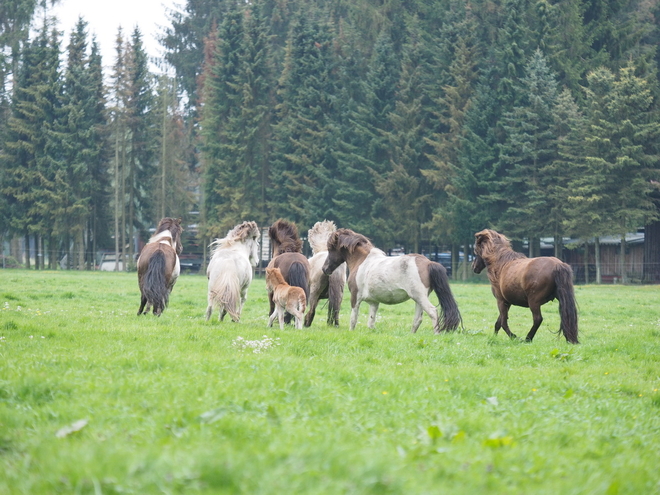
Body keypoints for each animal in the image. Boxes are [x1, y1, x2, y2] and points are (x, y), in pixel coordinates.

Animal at [322, 231, 462, 336]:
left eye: (330, 249)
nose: (325, 269)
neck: (362, 261)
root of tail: (428, 262)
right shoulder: (374, 302)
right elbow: (371, 322)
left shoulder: (355, 298)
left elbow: (353, 319)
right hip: (418, 299)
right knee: (418, 319)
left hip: (420, 297)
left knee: (432, 312)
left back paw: (436, 334)